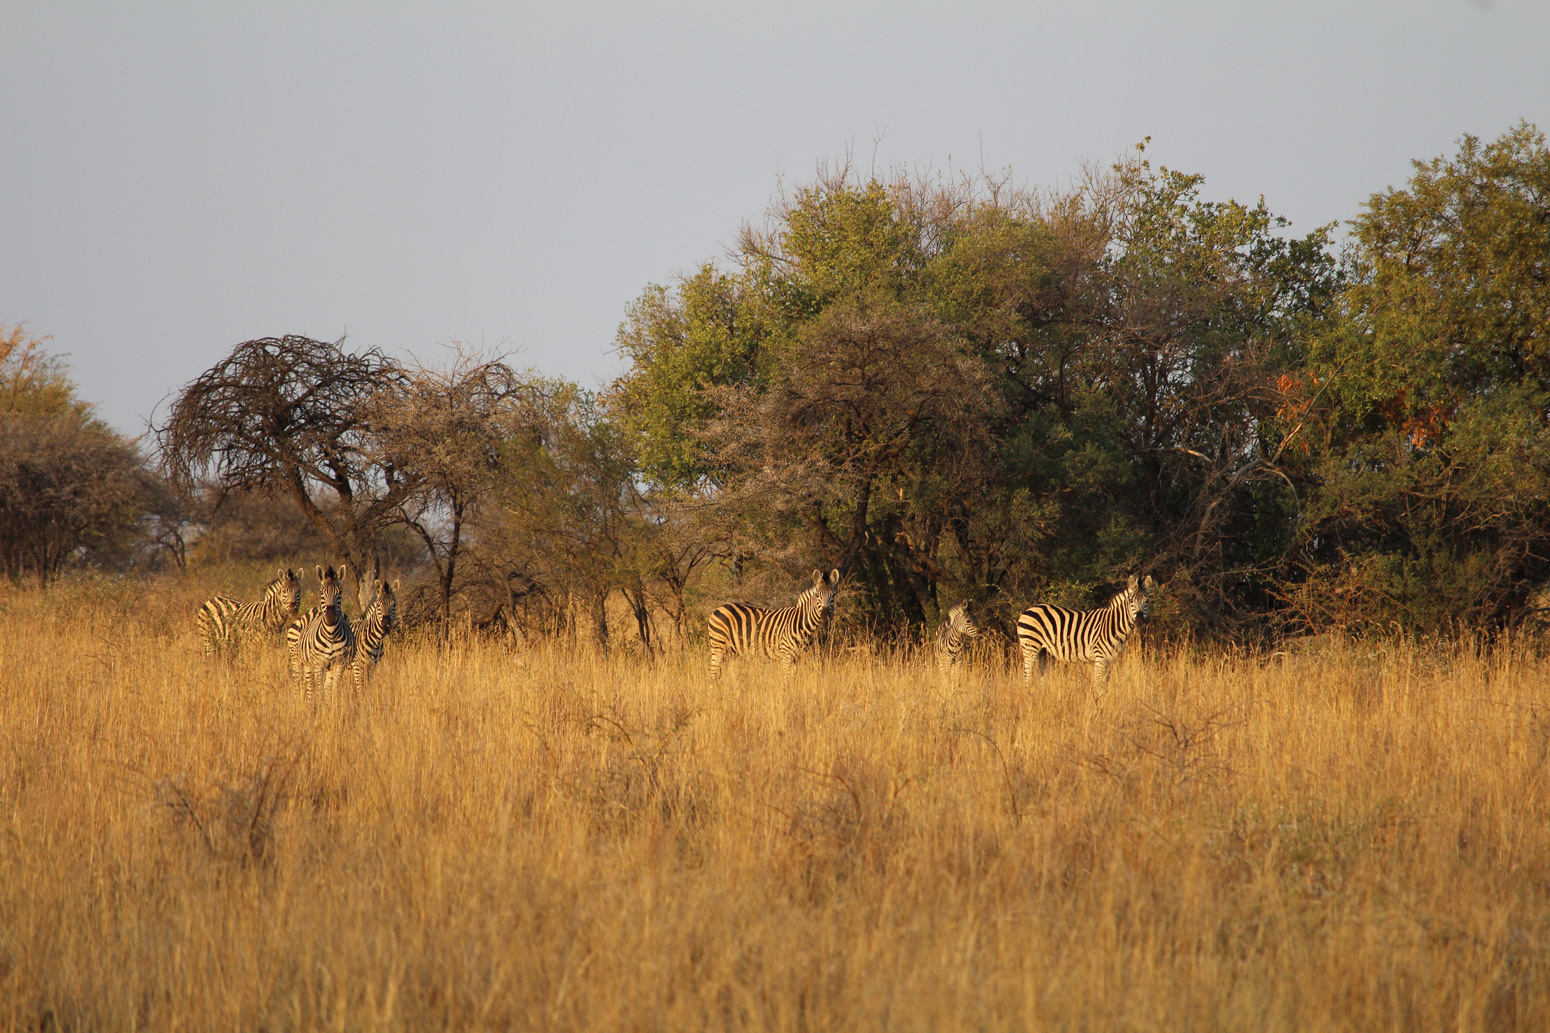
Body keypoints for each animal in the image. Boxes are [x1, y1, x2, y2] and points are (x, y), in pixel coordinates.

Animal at [285, 564, 356, 701]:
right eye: (321, 592)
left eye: (340, 592)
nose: (330, 615)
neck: (331, 634)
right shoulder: (319, 663)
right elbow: (318, 690)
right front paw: (320, 705)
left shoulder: (339, 663)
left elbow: (334, 690)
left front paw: (333, 705)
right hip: (303, 663)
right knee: (308, 686)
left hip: (329, 667)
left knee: (327, 687)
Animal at [709, 564, 843, 676]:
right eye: (817, 595)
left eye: (833, 595)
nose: (824, 618)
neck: (803, 626)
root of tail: (719, 607)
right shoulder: (786, 655)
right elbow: (786, 679)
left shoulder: (798, 657)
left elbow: (793, 678)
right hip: (718, 645)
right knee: (713, 672)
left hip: (732, 651)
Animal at [1016, 570, 1153, 682]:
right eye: (1131, 601)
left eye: (1146, 601)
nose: (1139, 623)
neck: (1113, 625)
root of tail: (1026, 611)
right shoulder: (1100, 657)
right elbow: (1098, 683)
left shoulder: (1111, 659)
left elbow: (1105, 682)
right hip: (1030, 647)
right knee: (1027, 677)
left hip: (1043, 652)